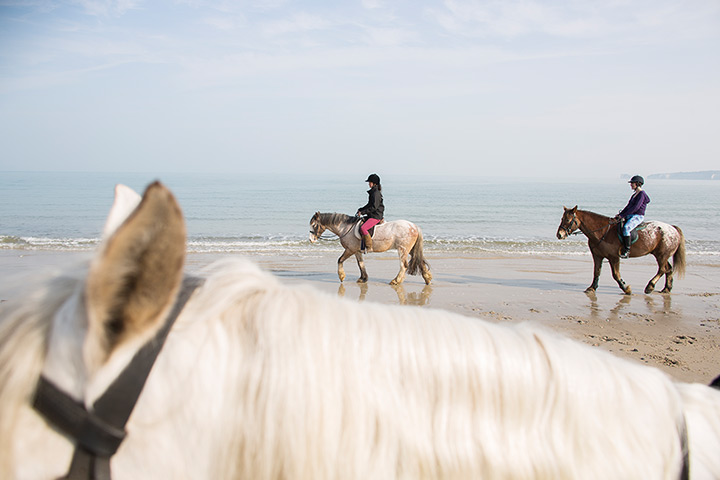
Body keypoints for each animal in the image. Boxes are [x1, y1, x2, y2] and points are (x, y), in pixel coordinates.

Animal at [556, 206, 686, 295]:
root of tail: (673, 228)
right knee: (668, 269)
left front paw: (626, 288)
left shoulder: (614, 257)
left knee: (663, 269)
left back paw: (650, 286)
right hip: (661, 255)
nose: (559, 234)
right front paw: (592, 288)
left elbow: (615, 274)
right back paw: (666, 289)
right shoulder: (597, 256)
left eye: (567, 220)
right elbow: (596, 272)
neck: (603, 231)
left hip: (662, 255)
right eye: (562, 218)